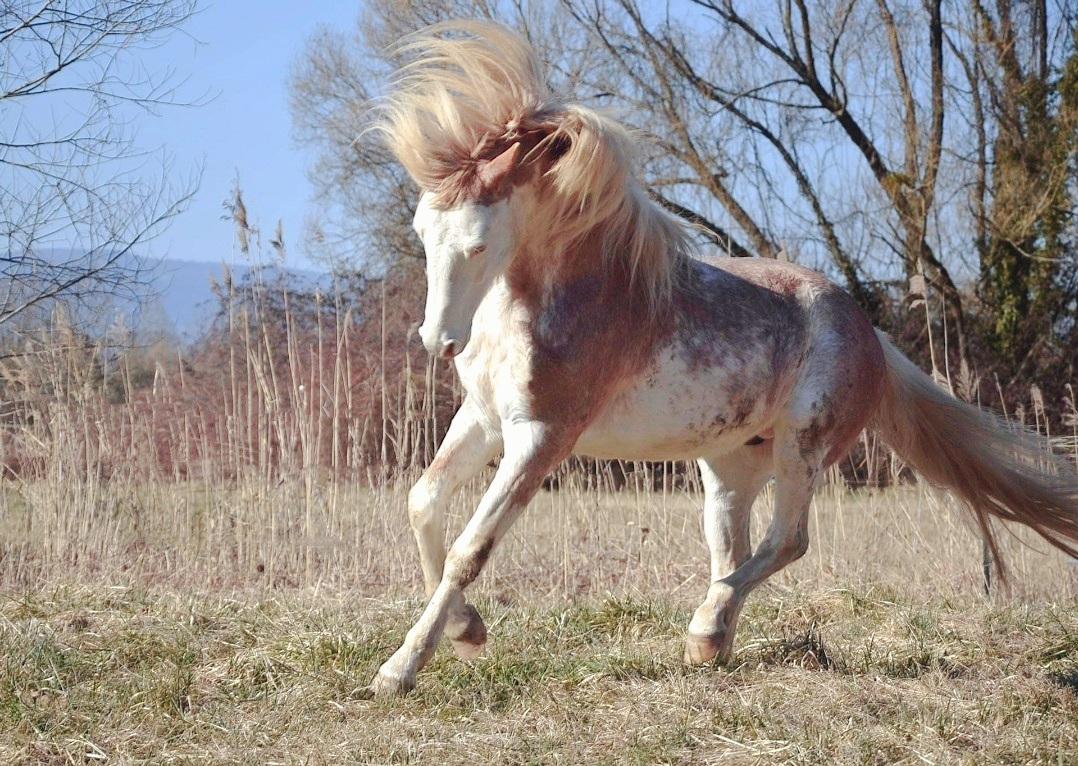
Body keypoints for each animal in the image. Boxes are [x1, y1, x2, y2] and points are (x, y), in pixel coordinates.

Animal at [364, 20, 1078, 697]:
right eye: (423, 230)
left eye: (480, 243)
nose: (438, 340)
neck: (576, 296)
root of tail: (870, 334)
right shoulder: (485, 419)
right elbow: (422, 501)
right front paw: (467, 631)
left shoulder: (542, 438)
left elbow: (470, 549)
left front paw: (401, 669)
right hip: (730, 467)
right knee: (730, 553)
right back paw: (713, 644)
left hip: (803, 450)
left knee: (786, 541)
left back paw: (704, 632)